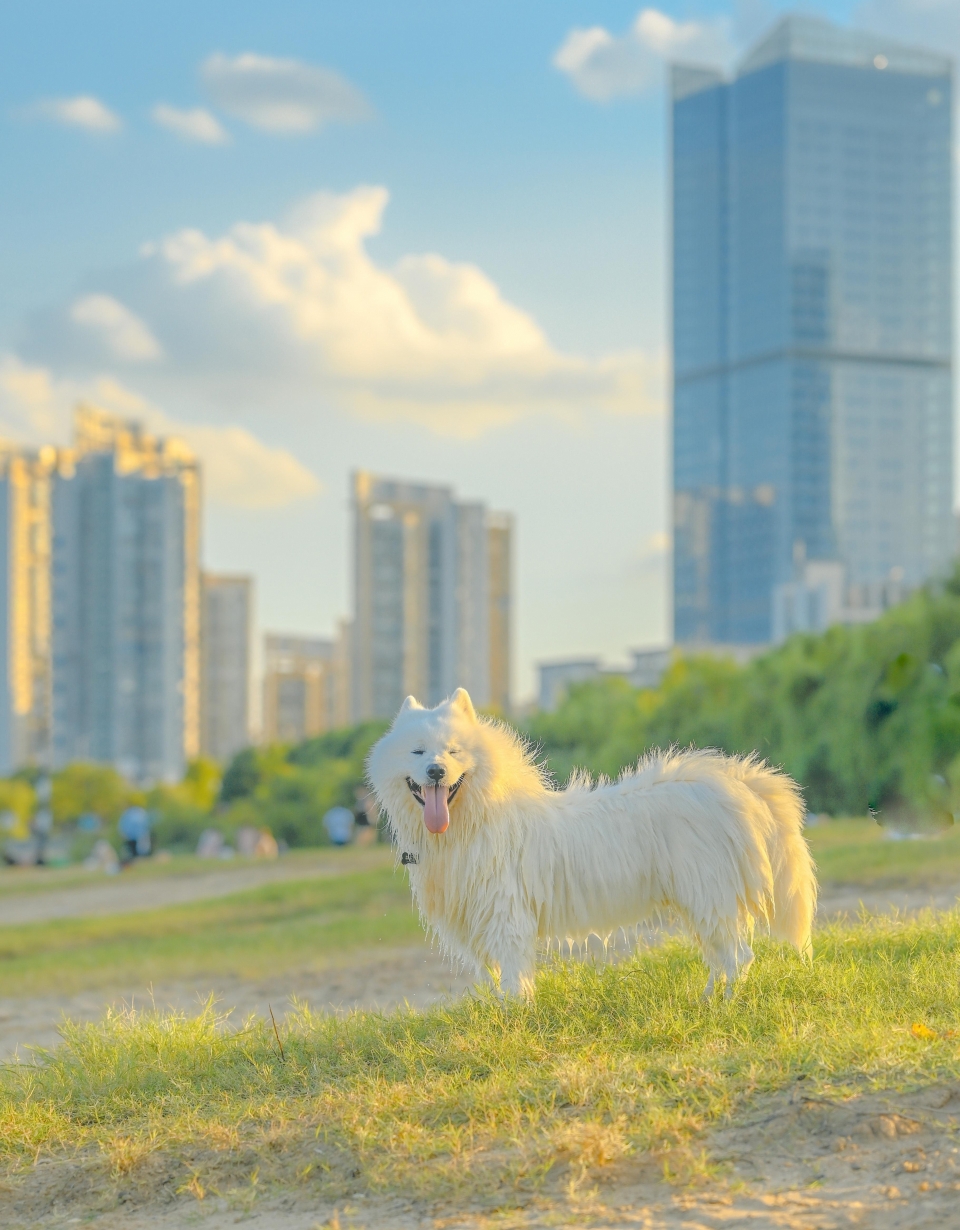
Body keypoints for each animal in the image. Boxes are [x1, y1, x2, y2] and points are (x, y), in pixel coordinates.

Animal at [366, 688, 817, 993]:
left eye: (454, 751)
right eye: (417, 752)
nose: (437, 771)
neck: (475, 820)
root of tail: (729, 782)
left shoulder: (506, 916)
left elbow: (513, 984)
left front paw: (514, 1025)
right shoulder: (470, 923)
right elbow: (489, 983)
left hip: (709, 896)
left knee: (739, 958)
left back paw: (724, 1005)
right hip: (702, 902)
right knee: (723, 958)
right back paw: (706, 1000)